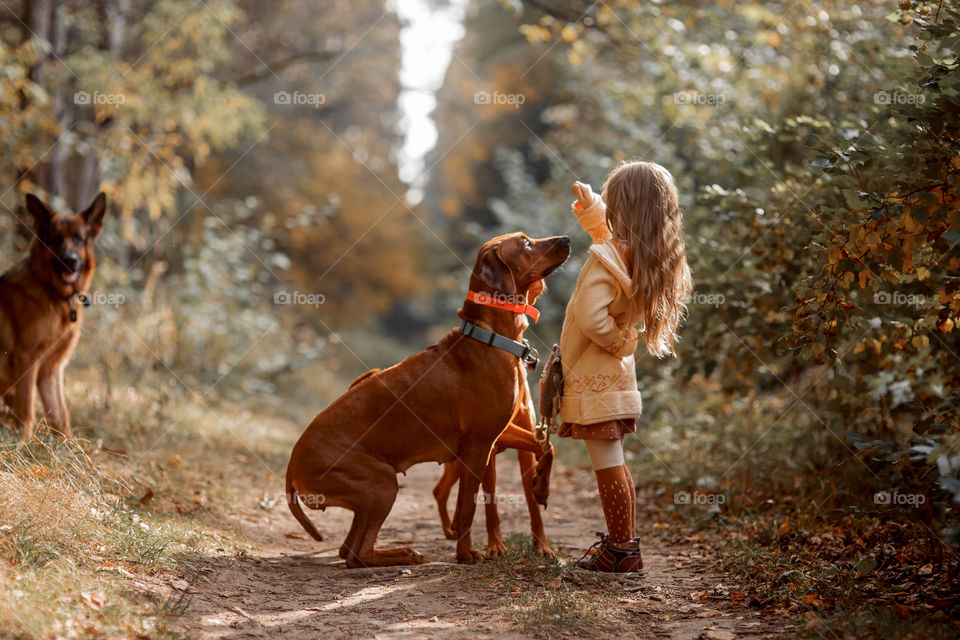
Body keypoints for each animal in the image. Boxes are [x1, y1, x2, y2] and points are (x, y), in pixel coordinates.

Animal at [0, 191, 108, 440]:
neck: (56, 296)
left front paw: (67, 446)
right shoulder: (26, 358)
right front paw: (22, 442)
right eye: (56, 239)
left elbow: (60, 415)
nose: (70, 260)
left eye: (78, 239)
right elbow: (27, 408)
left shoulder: (51, 370)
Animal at [284, 232, 568, 568]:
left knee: (348, 550)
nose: (566, 238)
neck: (489, 338)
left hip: (372, 491)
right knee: (356, 554)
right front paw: (466, 554)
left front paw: (541, 487)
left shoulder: (498, 432)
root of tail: (291, 466)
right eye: (525, 243)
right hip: (381, 483)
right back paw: (404, 554)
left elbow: (546, 446)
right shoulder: (479, 445)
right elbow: (468, 507)